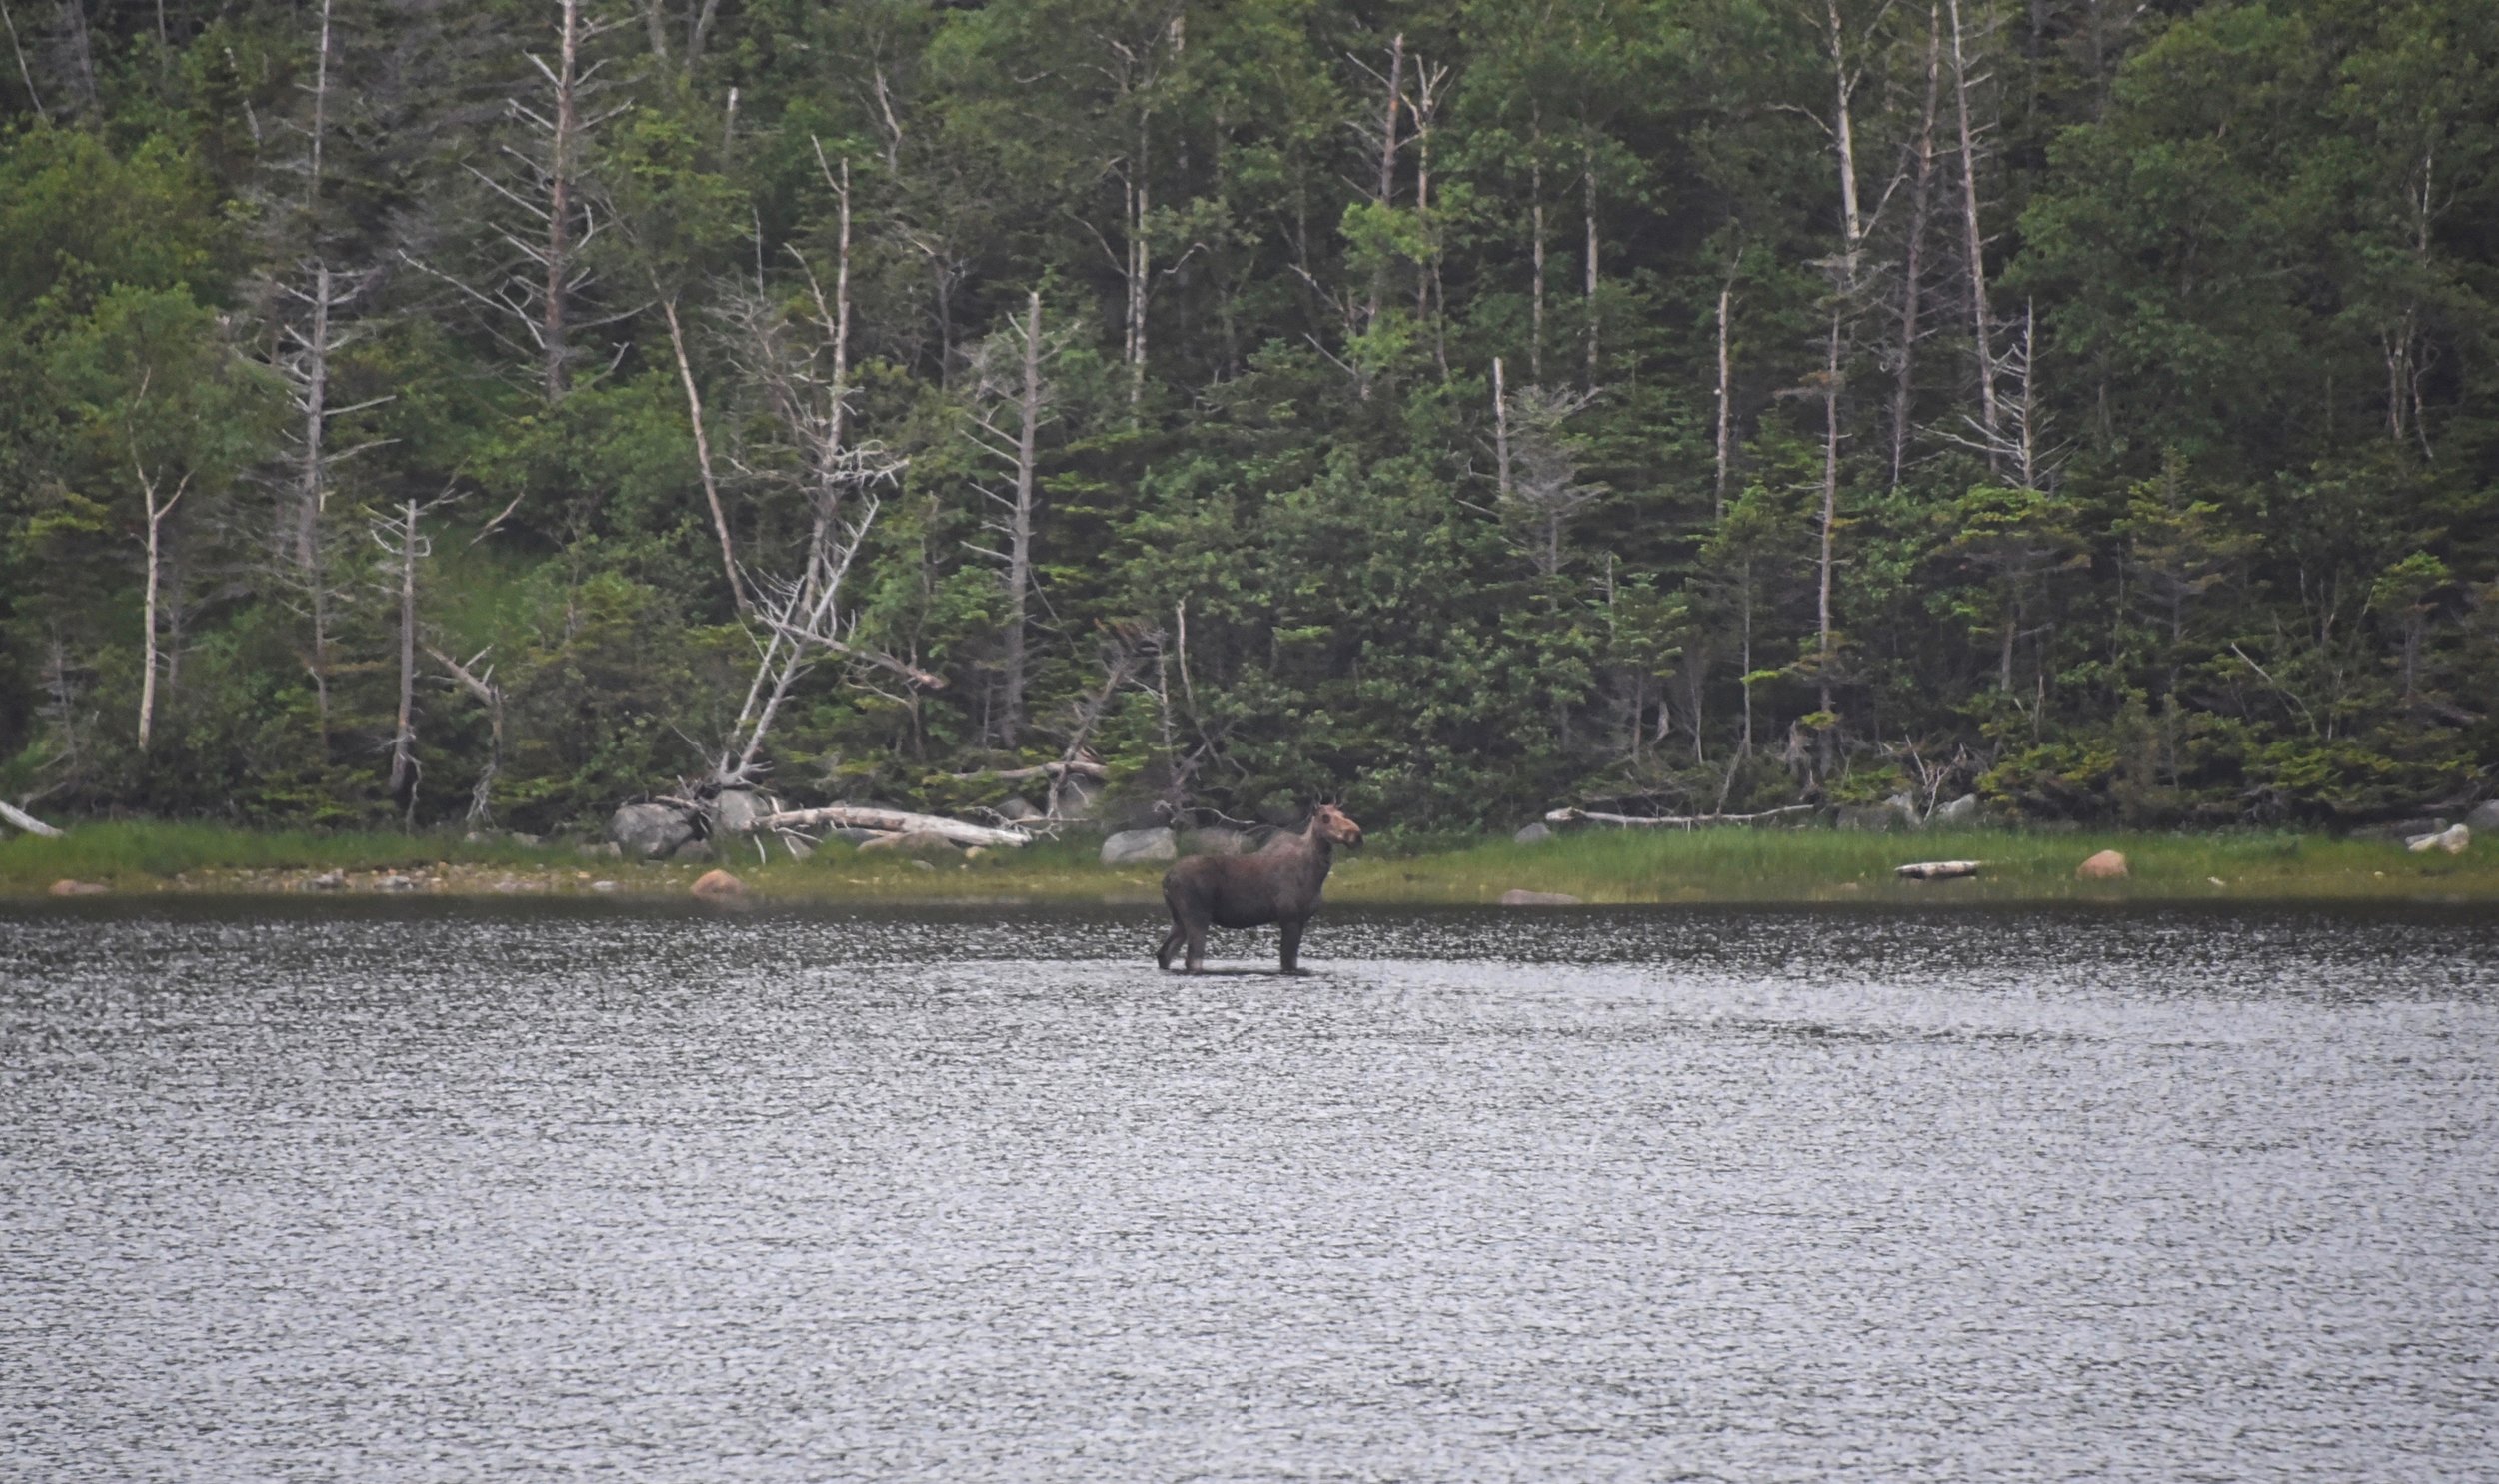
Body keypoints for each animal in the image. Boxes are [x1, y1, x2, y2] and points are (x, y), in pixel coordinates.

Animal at [1155, 799, 1369, 969]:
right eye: (1325, 818)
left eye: (1343, 814)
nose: (1356, 835)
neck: (1316, 874)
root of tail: (1166, 879)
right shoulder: (1290, 918)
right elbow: (1288, 962)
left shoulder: (1302, 920)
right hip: (1197, 916)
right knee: (1192, 959)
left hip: (1178, 919)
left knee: (1163, 953)